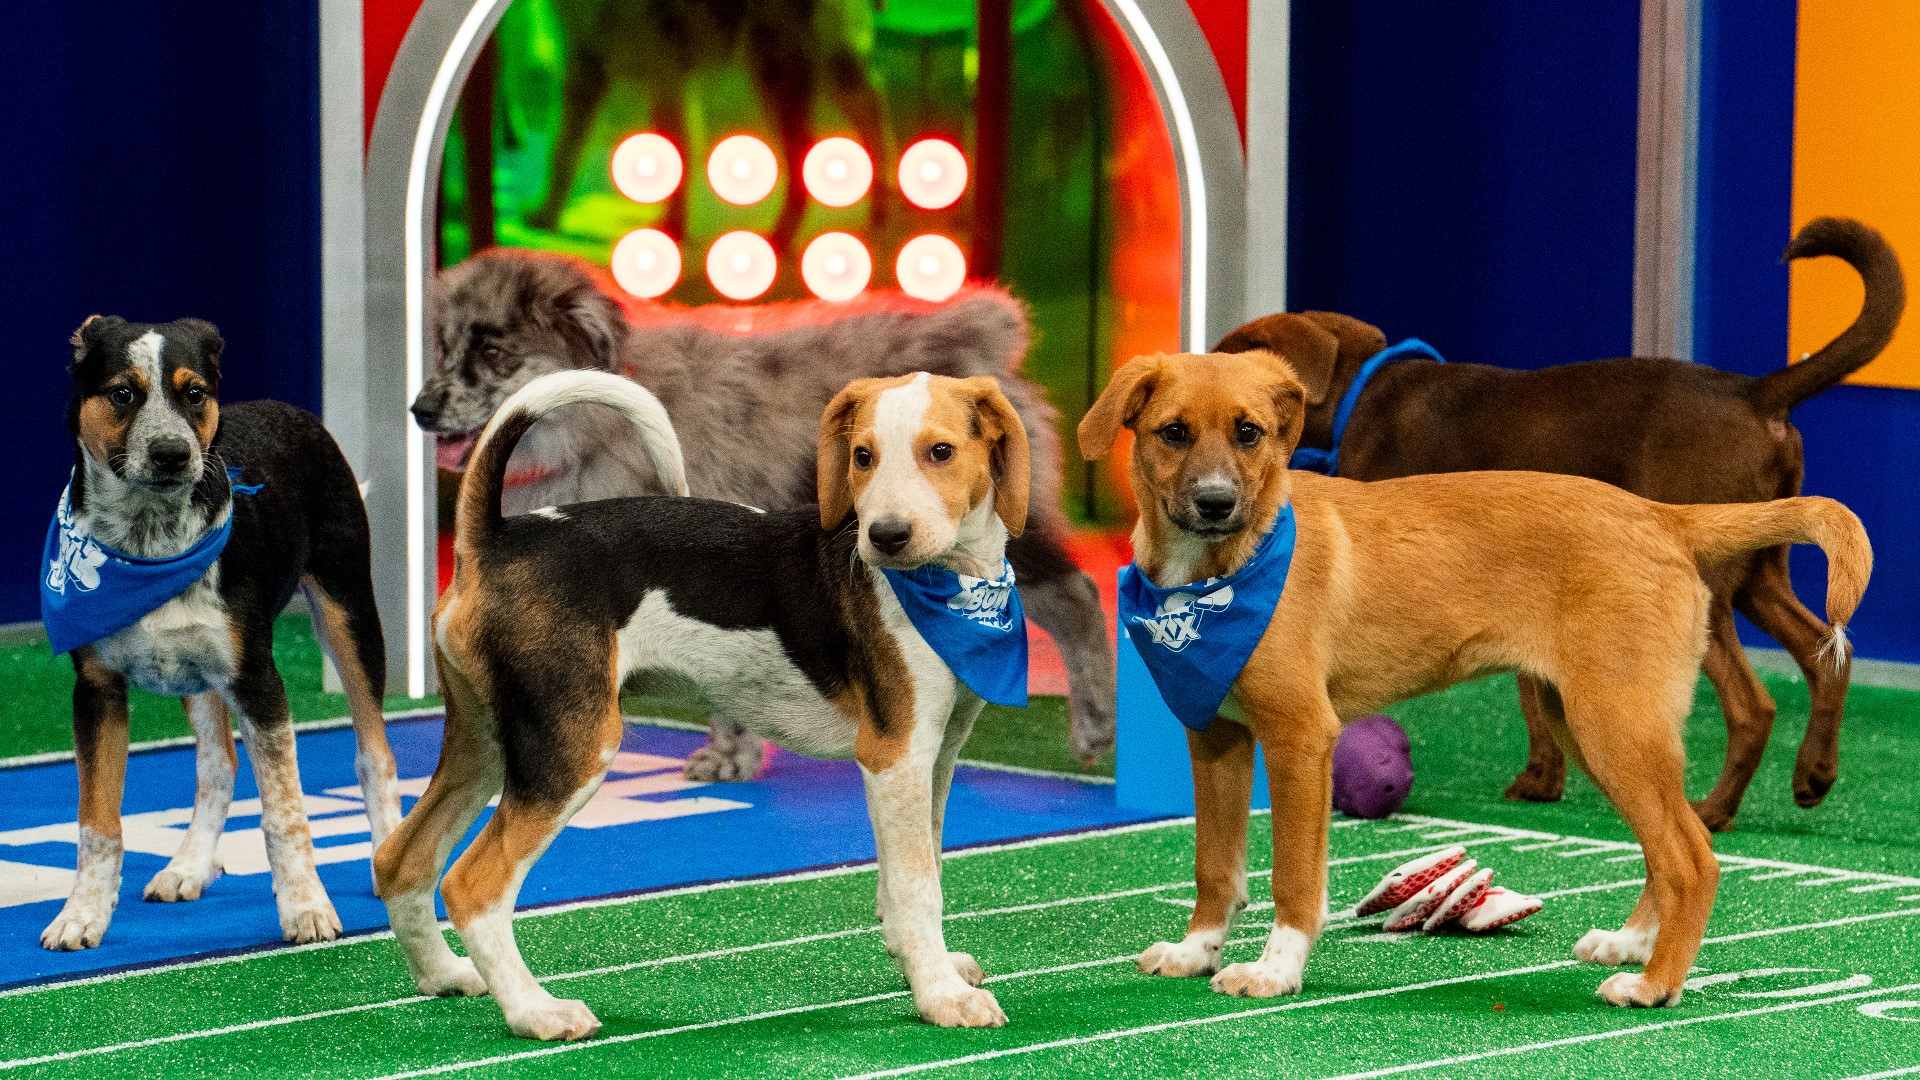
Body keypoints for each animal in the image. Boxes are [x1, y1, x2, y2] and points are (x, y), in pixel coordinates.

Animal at [39, 315, 399, 945]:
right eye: (122, 393)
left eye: (195, 393)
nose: (172, 452)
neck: (149, 542)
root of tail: (297, 412)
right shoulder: (96, 691)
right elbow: (97, 822)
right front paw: (81, 915)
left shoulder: (258, 679)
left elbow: (285, 813)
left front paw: (306, 908)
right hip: (198, 672)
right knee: (218, 764)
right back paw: (188, 866)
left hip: (348, 613)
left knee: (373, 753)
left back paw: (387, 860)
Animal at [1082, 349, 1873, 1006]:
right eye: (1173, 433)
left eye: (1249, 433)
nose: (1215, 503)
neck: (1221, 571)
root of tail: (1664, 517)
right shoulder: (1214, 734)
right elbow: (1216, 867)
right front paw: (1197, 951)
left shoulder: (1302, 737)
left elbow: (1294, 877)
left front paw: (1276, 971)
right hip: (1591, 725)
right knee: (1668, 848)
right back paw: (1632, 945)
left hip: (1616, 725)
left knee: (1692, 857)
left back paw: (1653, 985)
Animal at [1213, 216, 1904, 822]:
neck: (1363, 391)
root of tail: (1755, 391)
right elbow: (1530, 688)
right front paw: (1544, 778)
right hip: (1760, 573)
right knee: (1826, 655)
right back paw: (1811, 776)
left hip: (1714, 590)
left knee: (1754, 705)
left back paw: (1714, 811)